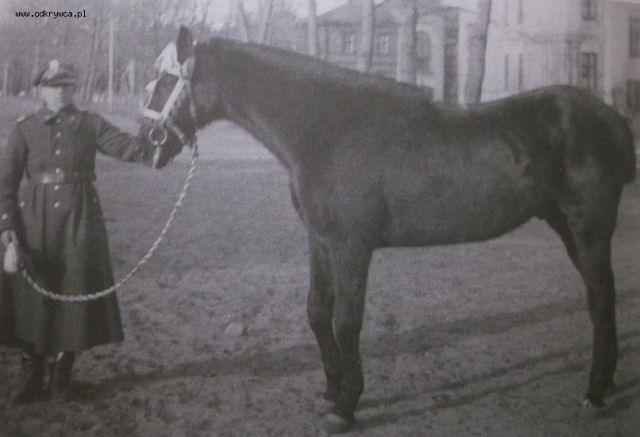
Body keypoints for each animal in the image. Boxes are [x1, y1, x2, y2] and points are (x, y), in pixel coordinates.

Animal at [142, 26, 636, 433]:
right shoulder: (320, 243)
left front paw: (346, 407)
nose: (148, 145)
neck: (329, 130)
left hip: (589, 230)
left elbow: (347, 322)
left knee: (599, 300)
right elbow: (317, 312)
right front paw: (332, 390)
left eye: (166, 82)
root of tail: (610, 118)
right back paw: (608, 384)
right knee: (606, 298)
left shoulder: (351, 247)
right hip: (567, 229)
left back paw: (594, 394)